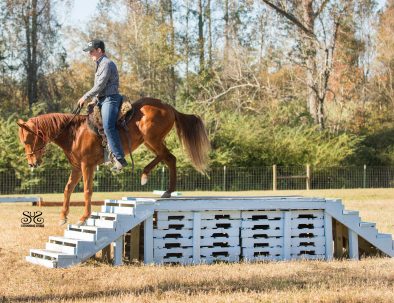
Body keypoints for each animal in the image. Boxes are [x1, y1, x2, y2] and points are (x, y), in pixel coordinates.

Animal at [16, 97, 211, 226]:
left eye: (27, 140)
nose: (32, 163)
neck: (74, 133)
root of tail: (168, 107)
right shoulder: (77, 168)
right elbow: (67, 189)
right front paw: (63, 216)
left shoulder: (87, 166)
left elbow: (87, 191)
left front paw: (83, 218)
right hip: (150, 142)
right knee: (169, 158)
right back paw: (162, 187)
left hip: (152, 139)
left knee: (168, 157)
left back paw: (148, 177)